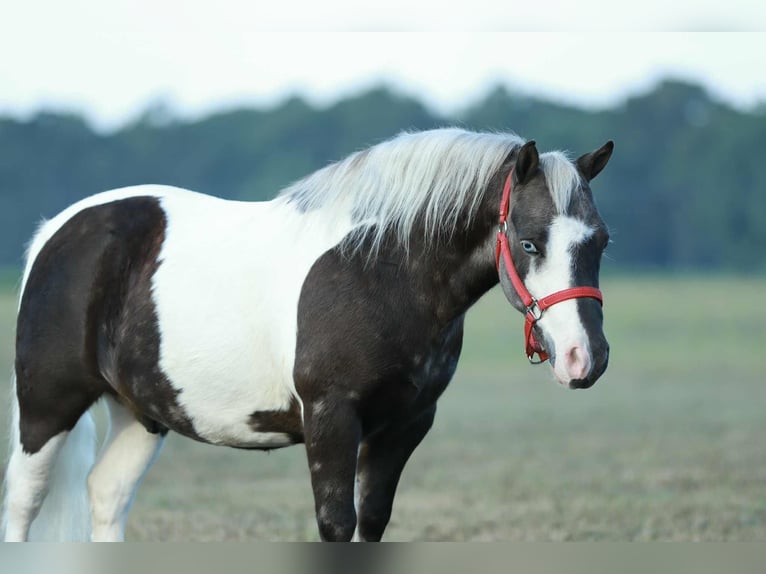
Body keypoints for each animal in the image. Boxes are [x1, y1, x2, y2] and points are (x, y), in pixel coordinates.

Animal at [1, 128, 613, 542]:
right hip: (46, 409)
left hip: (142, 414)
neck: (381, 268)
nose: (585, 358)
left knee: (106, 496)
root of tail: (58, 231)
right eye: (530, 242)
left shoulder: (404, 425)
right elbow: (336, 524)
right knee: (23, 503)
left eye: (601, 241)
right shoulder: (331, 418)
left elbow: (373, 522)